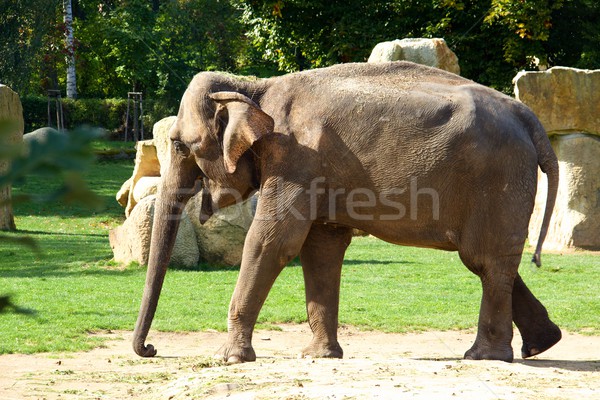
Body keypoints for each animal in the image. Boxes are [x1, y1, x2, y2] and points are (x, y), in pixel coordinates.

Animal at [132, 61, 564, 364]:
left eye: (179, 145)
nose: (151, 349)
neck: (255, 87)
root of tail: (530, 118)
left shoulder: (295, 158)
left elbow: (272, 241)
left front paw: (229, 359)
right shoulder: (315, 170)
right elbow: (321, 248)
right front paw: (318, 356)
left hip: (500, 179)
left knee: (484, 259)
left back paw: (484, 357)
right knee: (488, 260)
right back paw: (541, 345)